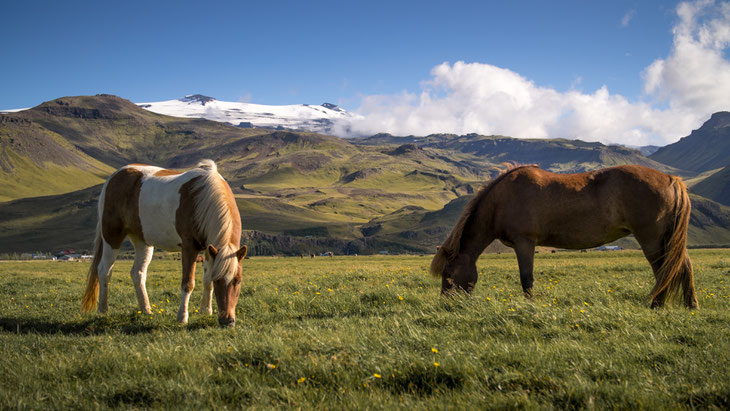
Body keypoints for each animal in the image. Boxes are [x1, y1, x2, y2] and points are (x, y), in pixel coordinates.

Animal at [81, 159, 247, 326]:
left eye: (238, 281)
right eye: (218, 280)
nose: (228, 321)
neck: (202, 197)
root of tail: (114, 176)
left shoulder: (209, 249)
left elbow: (207, 280)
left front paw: (205, 311)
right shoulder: (189, 248)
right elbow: (188, 283)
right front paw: (182, 317)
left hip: (142, 241)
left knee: (138, 273)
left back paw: (146, 309)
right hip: (112, 236)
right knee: (104, 271)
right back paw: (103, 310)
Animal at [430, 164, 696, 308]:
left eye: (449, 275)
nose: (447, 305)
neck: (502, 200)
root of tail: (672, 180)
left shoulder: (524, 243)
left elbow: (526, 279)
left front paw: (529, 306)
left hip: (652, 240)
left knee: (664, 271)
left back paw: (657, 306)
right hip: (666, 240)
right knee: (682, 267)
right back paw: (690, 305)